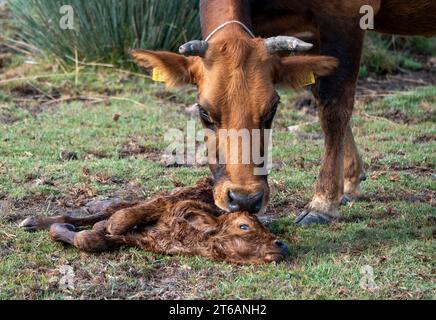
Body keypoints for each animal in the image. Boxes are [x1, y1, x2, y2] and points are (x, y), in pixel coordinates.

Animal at [130, 0, 436, 225]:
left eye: (272, 109)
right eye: (204, 112)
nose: (244, 200)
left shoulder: (346, 16)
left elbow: (334, 104)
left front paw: (323, 203)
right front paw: (350, 181)